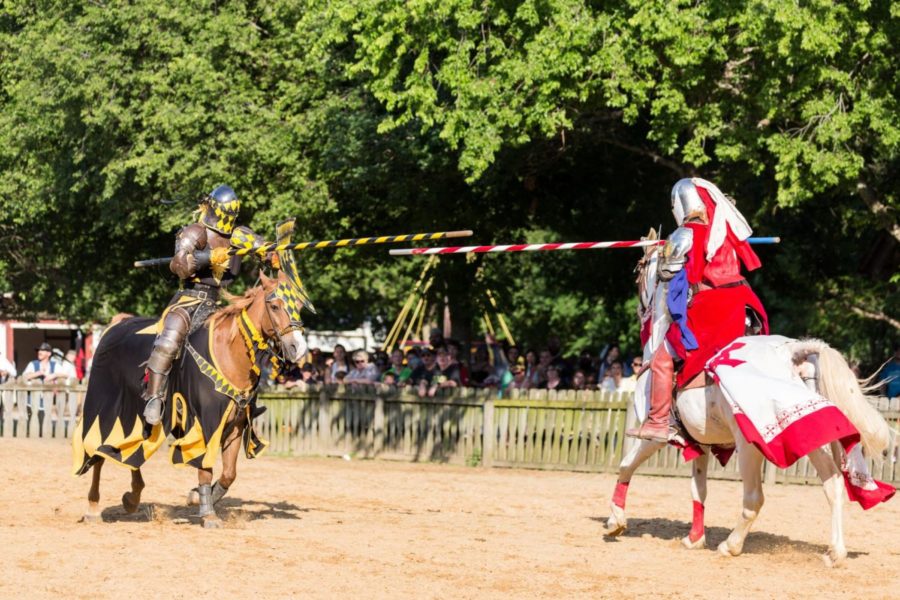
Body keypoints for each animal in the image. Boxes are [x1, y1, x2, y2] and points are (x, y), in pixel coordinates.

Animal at [74, 272, 306, 528]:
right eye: (274, 306)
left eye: (299, 306)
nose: (298, 348)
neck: (229, 352)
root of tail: (116, 323)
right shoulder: (204, 424)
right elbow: (204, 467)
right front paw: (208, 513)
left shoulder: (235, 425)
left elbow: (229, 474)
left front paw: (198, 496)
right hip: (106, 413)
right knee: (97, 453)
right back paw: (93, 508)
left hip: (136, 418)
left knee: (129, 452)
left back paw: (133, 497)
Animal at [604, 231, 892, 568]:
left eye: (639, 269)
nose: (641, 311)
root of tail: (792, 352)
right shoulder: (700, 443)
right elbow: (699, 490)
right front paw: (694, 538)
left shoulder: (654, 438)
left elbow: (626, 466)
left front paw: (615, 522)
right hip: (813, 435)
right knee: (833, 484)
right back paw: (835, 552)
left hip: (750, 444)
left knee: (755, 497)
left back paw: (731, 544)